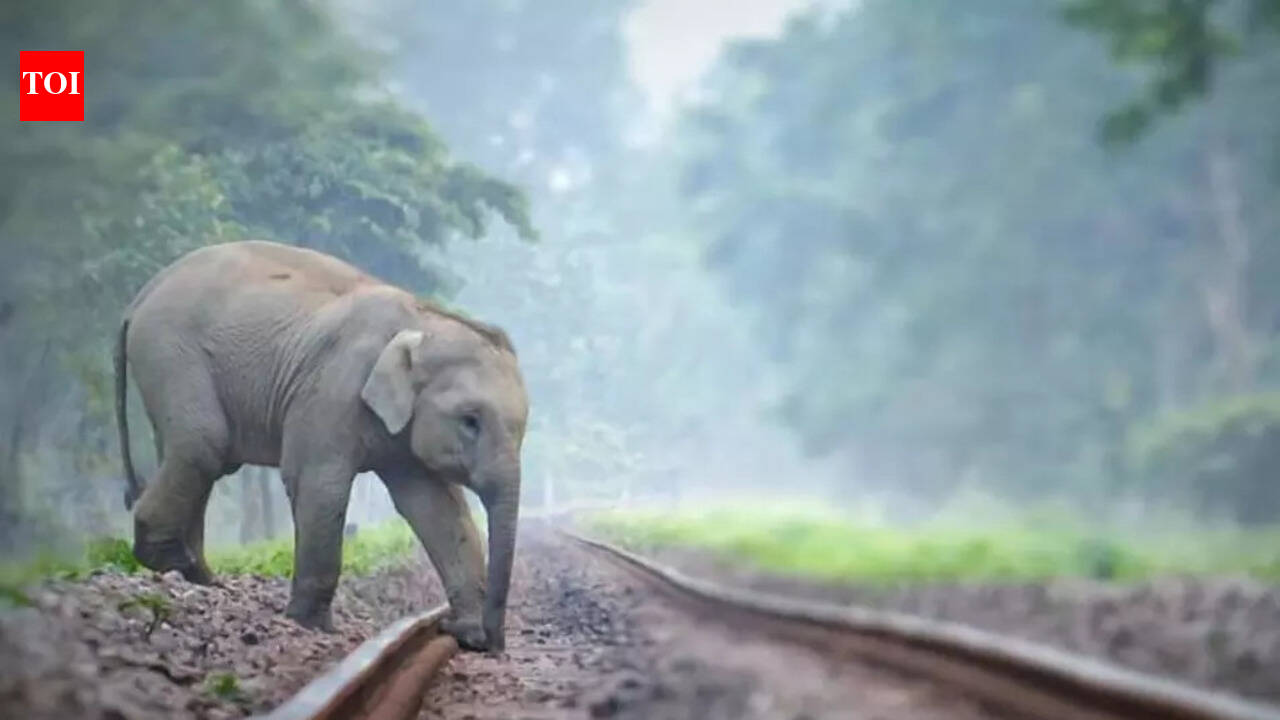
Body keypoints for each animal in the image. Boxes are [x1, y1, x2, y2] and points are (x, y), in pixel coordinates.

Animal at [113, 240, 528, 651]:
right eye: (470, 420)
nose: (492, 643)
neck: (423, 319)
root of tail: (142, 296)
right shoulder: (332, 388)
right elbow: (318, 483)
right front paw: (310, 625)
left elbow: (435, 506)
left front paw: (468, 634)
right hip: (171, 351)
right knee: (203, 443)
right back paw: (167, 560)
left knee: (195, 454)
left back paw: (198, 575)